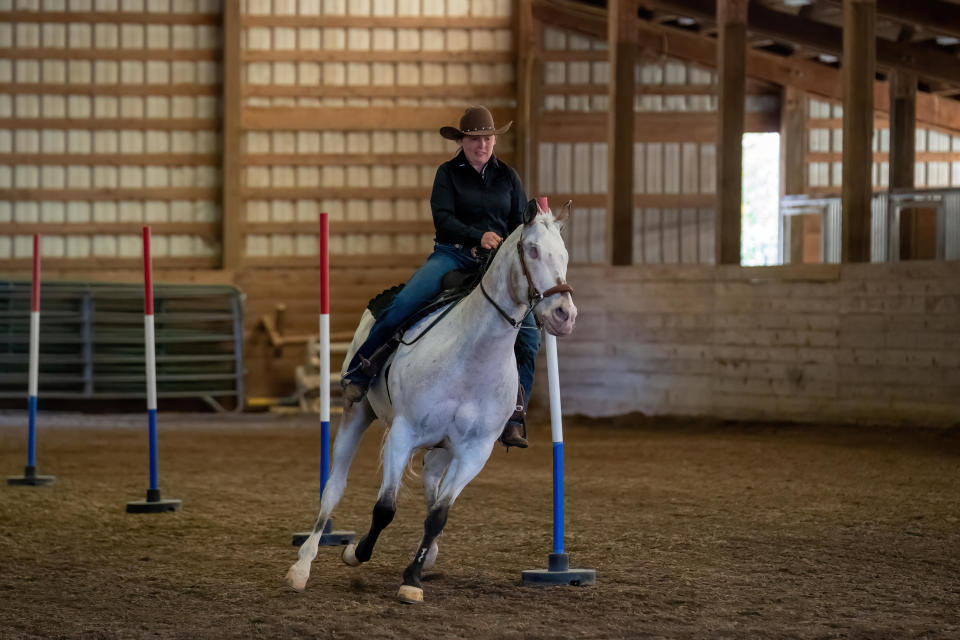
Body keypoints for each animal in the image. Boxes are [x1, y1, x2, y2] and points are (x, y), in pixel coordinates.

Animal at [284, 201, 576, 604]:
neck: (471, 357)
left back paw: (430, 553)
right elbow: (385, 508)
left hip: (441, 447)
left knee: (430, 485)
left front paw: (413, 578)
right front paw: (356, 553)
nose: (565, 315)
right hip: (358, 412)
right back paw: (304, 563)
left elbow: (438, 515)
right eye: (532, 250)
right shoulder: (403, 433)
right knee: (334, 488)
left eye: (564, 254)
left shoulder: (474, 452)